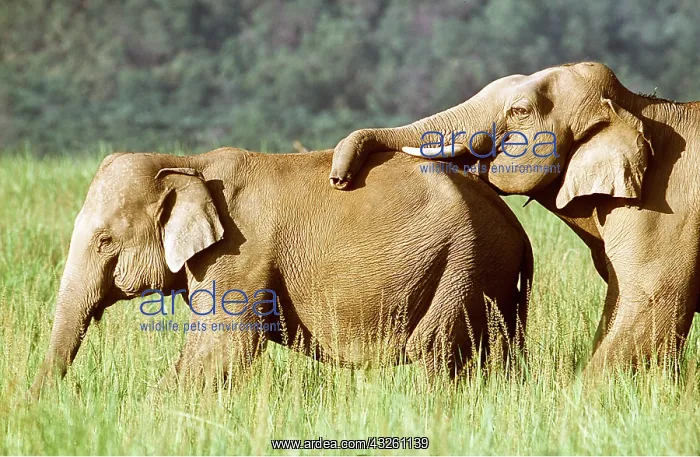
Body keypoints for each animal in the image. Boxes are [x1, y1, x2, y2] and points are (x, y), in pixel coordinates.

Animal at [30, 147, 532, 397]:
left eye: (105, 241)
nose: (40, 408)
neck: (188, 163)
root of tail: (517, 229)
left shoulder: (240, 252)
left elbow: (223, 348)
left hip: (463, 264)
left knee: (438, 355)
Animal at [328, 61, 700, 370]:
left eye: (520, 110)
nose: (340, 179)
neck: (637, 105)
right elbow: (617, 306)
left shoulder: (666, 209)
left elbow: (650, 309)